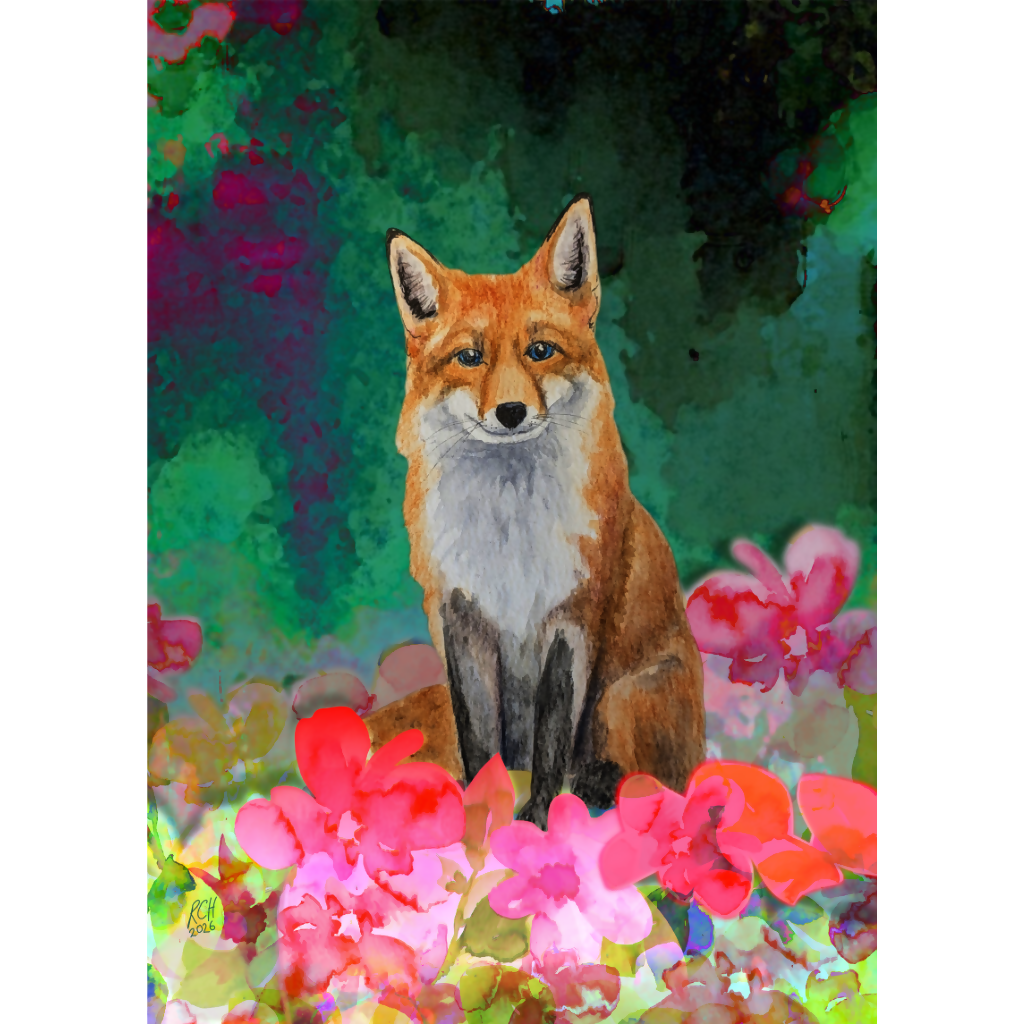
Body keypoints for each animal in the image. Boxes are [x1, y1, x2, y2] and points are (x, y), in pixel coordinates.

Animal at [385, 194, 705, 828]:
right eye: (470, 358)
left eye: (540, 352)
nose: (510, 411)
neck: (509, 530)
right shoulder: (461, 617)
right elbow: (477, 735)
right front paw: (477, 809)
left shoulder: (572, 618)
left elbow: (554, 735)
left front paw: (537, 821)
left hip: (622, 700)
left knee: (649, 776)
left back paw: (597, 789)